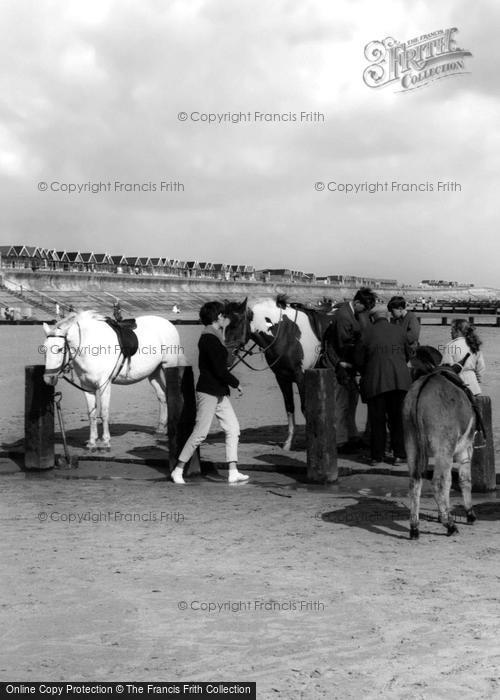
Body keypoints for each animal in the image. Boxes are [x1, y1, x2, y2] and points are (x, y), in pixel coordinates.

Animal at [42, 310, 187, 448]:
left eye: (59, 349)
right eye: (44, 349)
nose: (48, 378)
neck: (92, 345)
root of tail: (168, 324)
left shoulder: (104, 385)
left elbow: (104, 413)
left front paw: (105, 441)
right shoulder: (87, 386)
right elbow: (91, 414)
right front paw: (92, 442)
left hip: (168, 367)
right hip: (153, 372)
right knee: (162, 396)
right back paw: (160, 429)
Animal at [223, 296, 336, 448]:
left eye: (234, 325)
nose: (226, 357)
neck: (286, 333)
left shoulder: (301, 377)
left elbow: (306, 407)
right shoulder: (282, 378)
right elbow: (289, 408)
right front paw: (288, 443)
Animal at [404, 348, 478, 540]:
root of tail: (420, 393)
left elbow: (450, 483)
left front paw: (441, 513)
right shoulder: (465, 449)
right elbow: (463, 480)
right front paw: (469, 513)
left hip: (412, 445)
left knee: (415, 482)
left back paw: (414, 527)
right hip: (444, 449)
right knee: (438, 482)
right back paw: (450, 525)